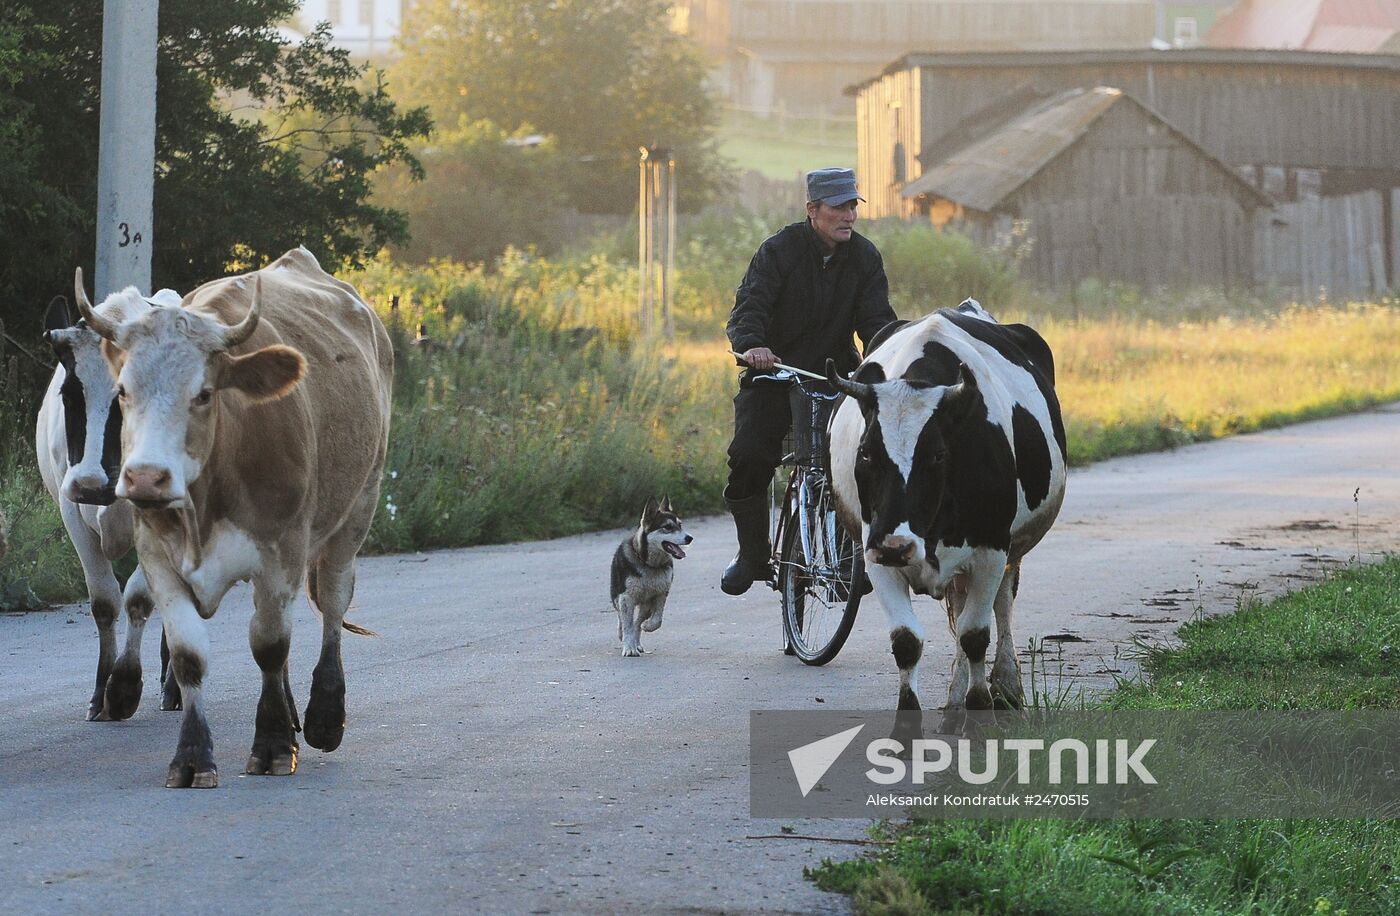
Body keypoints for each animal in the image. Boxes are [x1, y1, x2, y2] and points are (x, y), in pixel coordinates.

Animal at [34, 282, 182, 722]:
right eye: (68, 394)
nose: (89, 484)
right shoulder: (71, 513)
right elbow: (104, 601)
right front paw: (101, 692)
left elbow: (138, 598)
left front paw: (125, 686)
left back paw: (173, 685)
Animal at [77, 249, 394, 789]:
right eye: (122, 391)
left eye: (204, 393)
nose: (145, 479)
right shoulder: (159, 558)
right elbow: (188, 657)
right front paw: (191, 758)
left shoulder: (281, 552)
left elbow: (269, 645)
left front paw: (273, 746)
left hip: (357, 509)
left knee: (332, 603)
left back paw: (323, 716)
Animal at [613, 498, 694, 655]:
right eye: (667, 527)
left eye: (680, 525)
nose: (690, 538)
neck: (649, 565)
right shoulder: (626, 597)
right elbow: (627, 625)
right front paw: (629, 647)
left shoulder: (660, 594)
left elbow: (657, 621)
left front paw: (647, 626)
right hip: (617, 596)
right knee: (621, 617)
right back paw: (623, 635)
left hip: (645, 606)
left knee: (637, 622)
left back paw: (638, 641)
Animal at [823, 301, 1064, 717]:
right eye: (865, 452)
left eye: (937, 455)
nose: (896, 545)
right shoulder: (874, 554)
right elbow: (906, 640)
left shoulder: (991, 549)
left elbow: (975, 635)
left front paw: (980, 704)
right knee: (961, 603)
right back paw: (955, 694)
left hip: (1011, 548)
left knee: (1001, 604)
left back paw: (1006, 686)